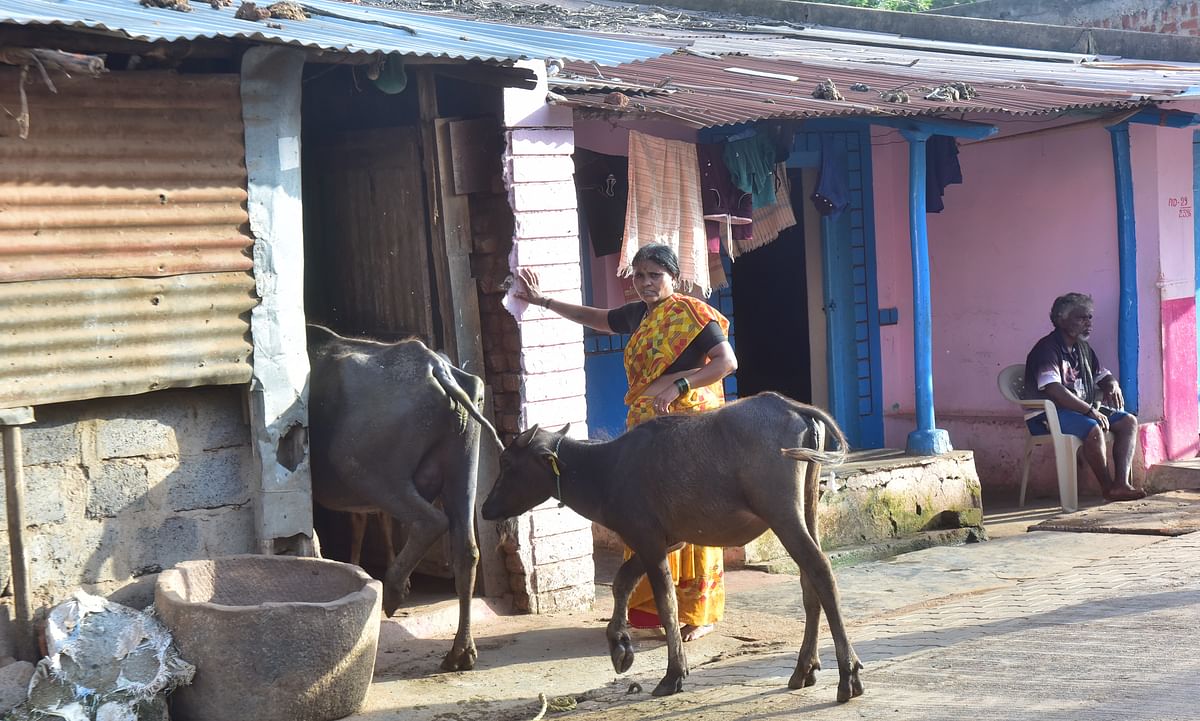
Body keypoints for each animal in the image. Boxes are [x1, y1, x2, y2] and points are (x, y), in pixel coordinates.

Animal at [309, 323, 501, 671]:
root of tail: (434, 365)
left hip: (364, 469)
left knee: (431, 521)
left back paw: (394, 590)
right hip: (462, 469)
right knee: (466, 548)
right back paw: (460, 652)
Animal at [477, 391, 864, 700]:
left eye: (507, 462)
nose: (485, 509)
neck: (606, 469)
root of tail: (790, 406)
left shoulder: (647, 541)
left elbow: (666, 603)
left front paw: (673, 674)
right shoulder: (664, 541)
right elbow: (621, 583)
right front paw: (620, 648)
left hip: (782, 514)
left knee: (820, 571)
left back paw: (848, 675)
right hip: (807, 508)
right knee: (809, 582)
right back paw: (804, 669)